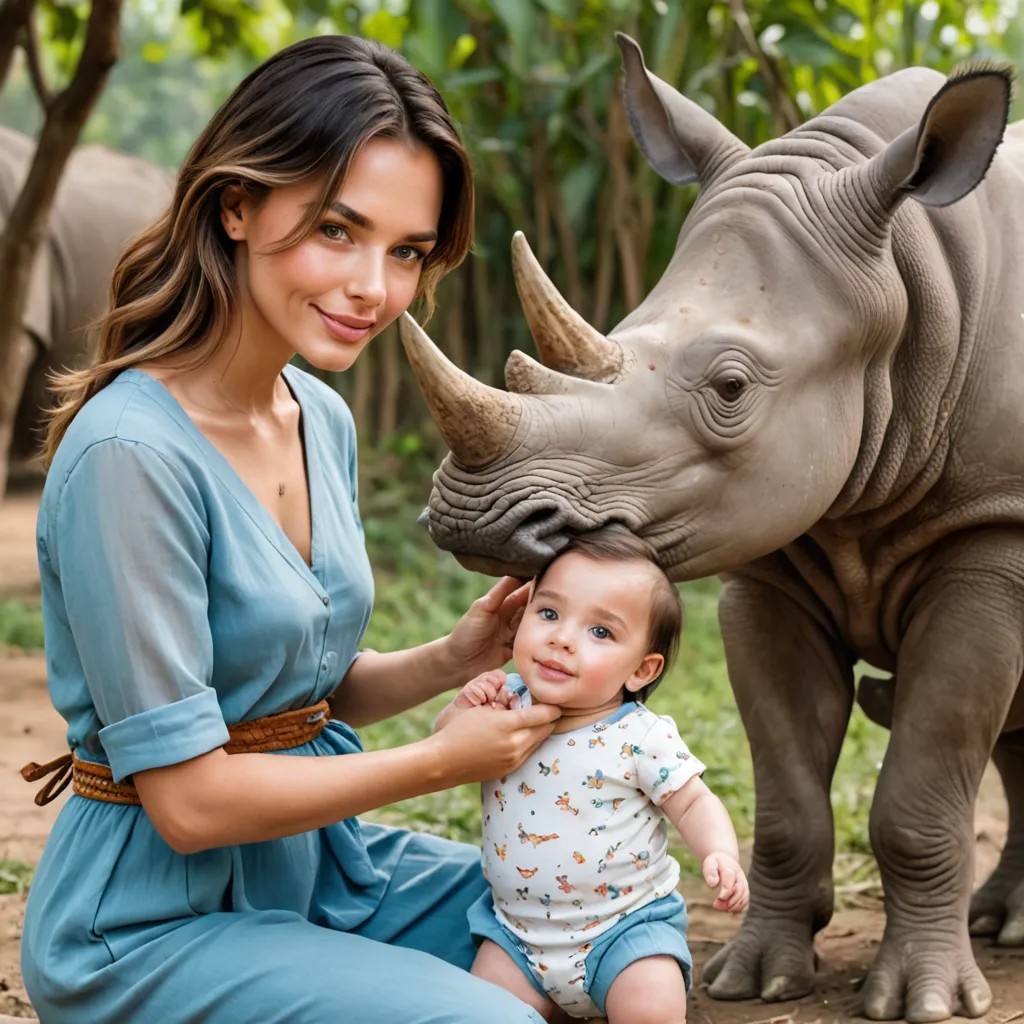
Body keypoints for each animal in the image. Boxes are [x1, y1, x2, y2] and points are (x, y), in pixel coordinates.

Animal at [398, 34, 1024, 1024]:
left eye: (731, 388)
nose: (473, 516)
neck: (906, 282)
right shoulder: (772, 546)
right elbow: (787, 791)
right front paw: (755, 978)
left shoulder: (993, 528)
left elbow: (922, 783)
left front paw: (922, 1001)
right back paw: (1004, 924)